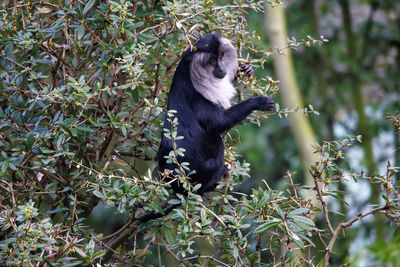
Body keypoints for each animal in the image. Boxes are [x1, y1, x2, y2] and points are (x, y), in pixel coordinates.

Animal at [157, 32, 276, 196]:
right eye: (212, 61)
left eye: (221, 56)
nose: (221, 68)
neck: (190, 73)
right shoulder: (197, 96)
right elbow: (217, 123)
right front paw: (257, 102)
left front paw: (245, 69)